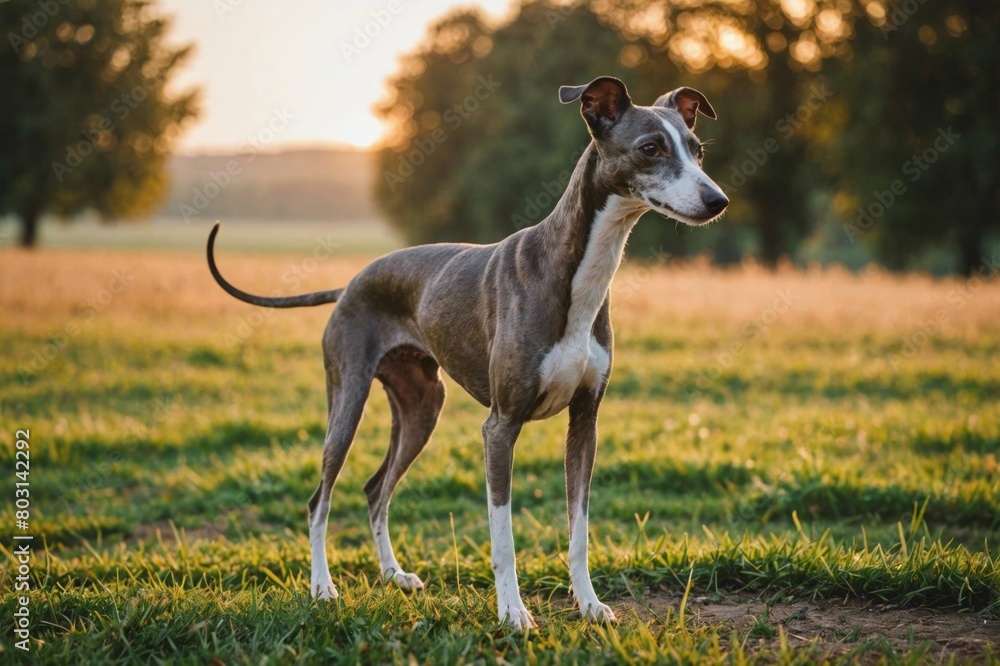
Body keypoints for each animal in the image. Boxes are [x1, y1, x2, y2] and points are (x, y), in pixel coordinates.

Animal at [207, 76, 728, 630]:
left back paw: (394, 575)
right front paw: (513, 612)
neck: (575, 275)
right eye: (650, 148)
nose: (717, 199)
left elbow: (579, 531)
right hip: (346, 402)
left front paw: (589, 604)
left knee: (375, 489)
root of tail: (349, 283)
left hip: (421, 406)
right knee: (318, 499)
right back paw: (323, 587)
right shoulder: (500, 427)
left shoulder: (585, 422)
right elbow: (503, 537)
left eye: (696, 150)